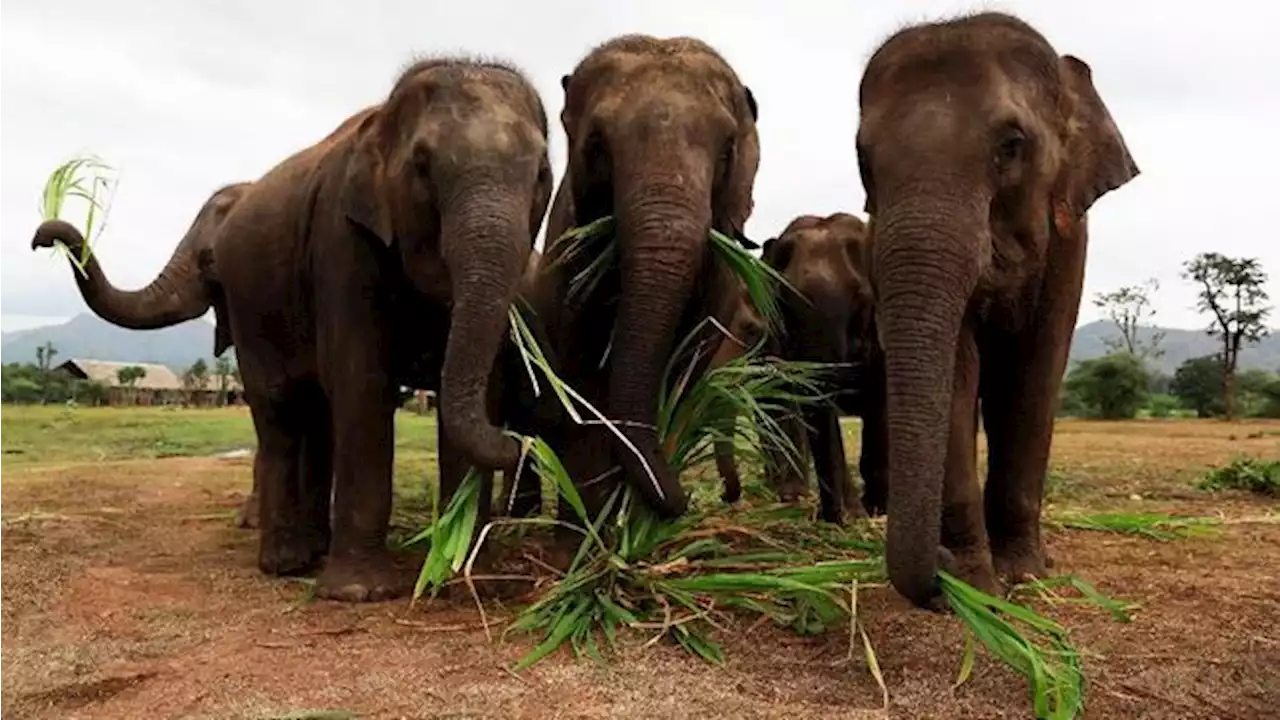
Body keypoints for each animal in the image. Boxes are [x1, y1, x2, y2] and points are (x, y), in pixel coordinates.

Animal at [33, 57, 555, 599]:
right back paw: (287, 562)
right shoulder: (339, 242)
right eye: (422, 165)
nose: (41, 238)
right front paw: (360, 593)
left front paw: (466, 582)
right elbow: (362, 384)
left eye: (542, 173)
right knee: (279, 409)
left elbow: (475, 391)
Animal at [483, 35, 752, 520]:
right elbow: (583, 380)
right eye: (597, 146)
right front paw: (597, 525)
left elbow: (682, 376)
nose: (689, 503)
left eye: (727, 150)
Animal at [860, 11, 1141, 604]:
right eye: (863, 162)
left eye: (1011, 146)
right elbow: (958, 372)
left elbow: (1034, 372)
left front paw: (1025, 574)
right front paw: (976, 585)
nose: (939, 570)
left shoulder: (1070, 242)